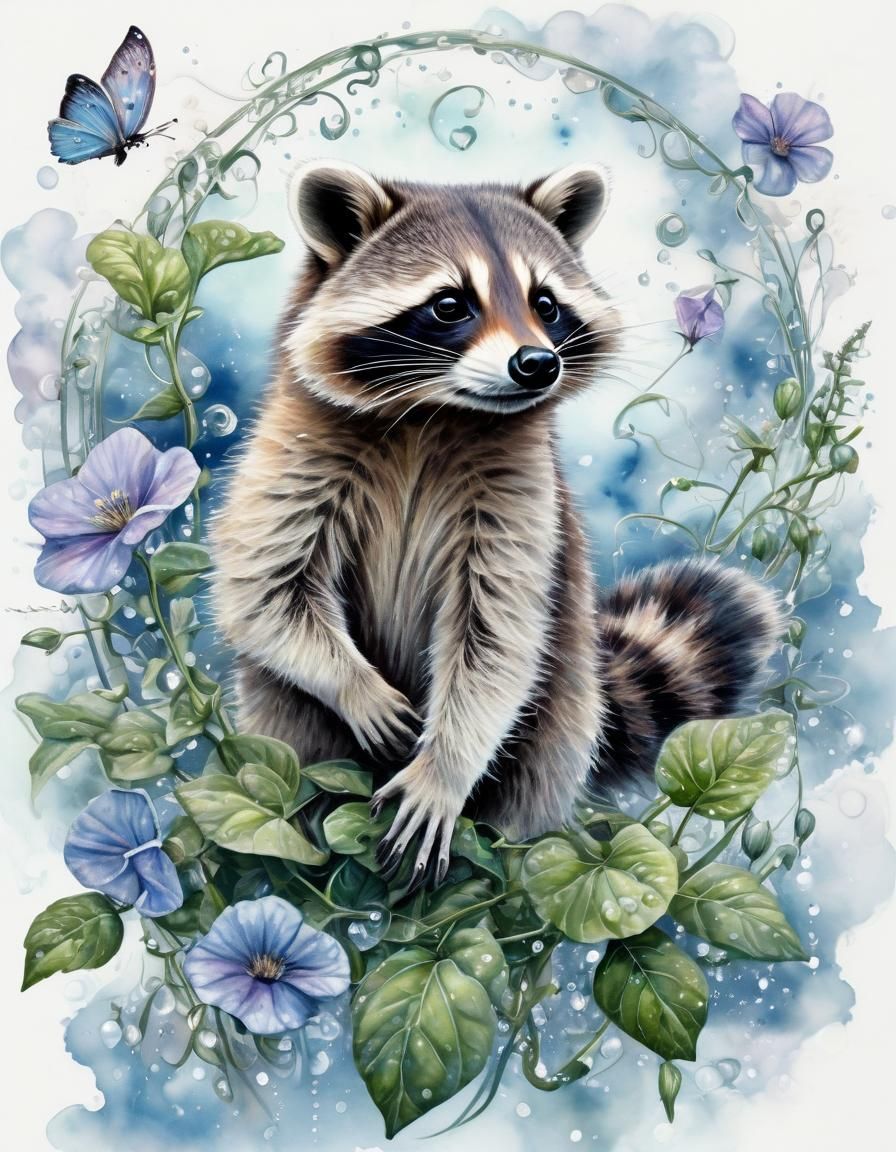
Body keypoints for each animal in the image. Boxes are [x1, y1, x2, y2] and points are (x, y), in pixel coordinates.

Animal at [211, 160, 781, 888]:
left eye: (546, 303)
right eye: (450, 304)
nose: (537, 363)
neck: (435, 412)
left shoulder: (522, 495)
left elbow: (497, 634)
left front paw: (444, 769)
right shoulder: (294, 452)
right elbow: (267, 588)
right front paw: (355, 684)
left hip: (556, 727)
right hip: (289, 731)